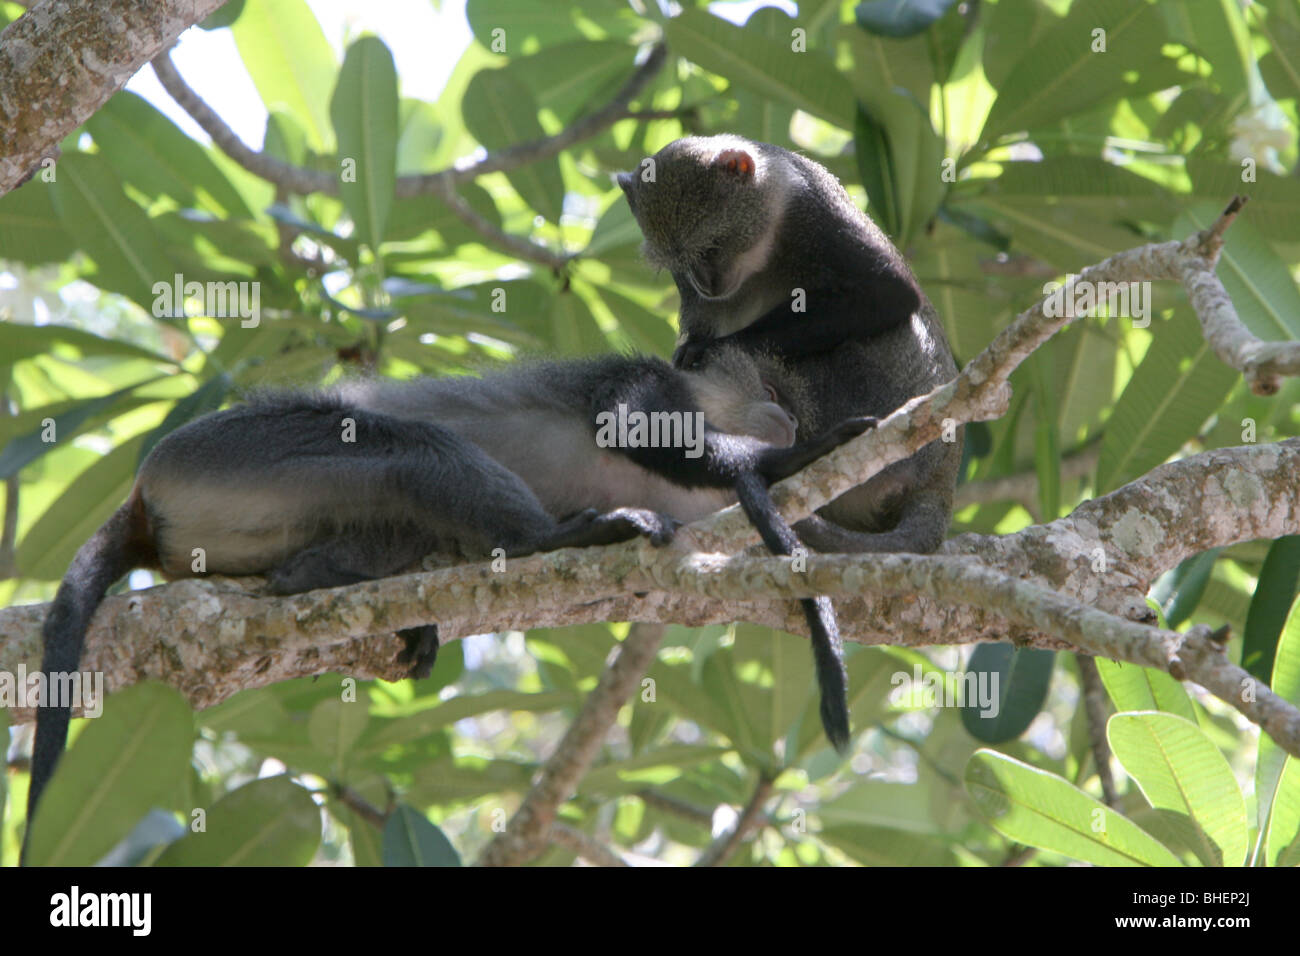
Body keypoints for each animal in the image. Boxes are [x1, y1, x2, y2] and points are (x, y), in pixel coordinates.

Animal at [25, 345, 872, 847]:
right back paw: (552, 539)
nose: (787, 416)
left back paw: (322, 576)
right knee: (413, 452)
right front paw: (794, 455)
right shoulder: (636, 376)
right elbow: (632, 425)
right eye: (770, 387)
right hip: (239, 449)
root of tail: (145, 493)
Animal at [618, 134, 961, 556]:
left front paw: (701, 353)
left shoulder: (811, 208)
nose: (704, 283)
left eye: (712, 248)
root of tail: (941, 474)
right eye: (679, 263)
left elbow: (890, 291)